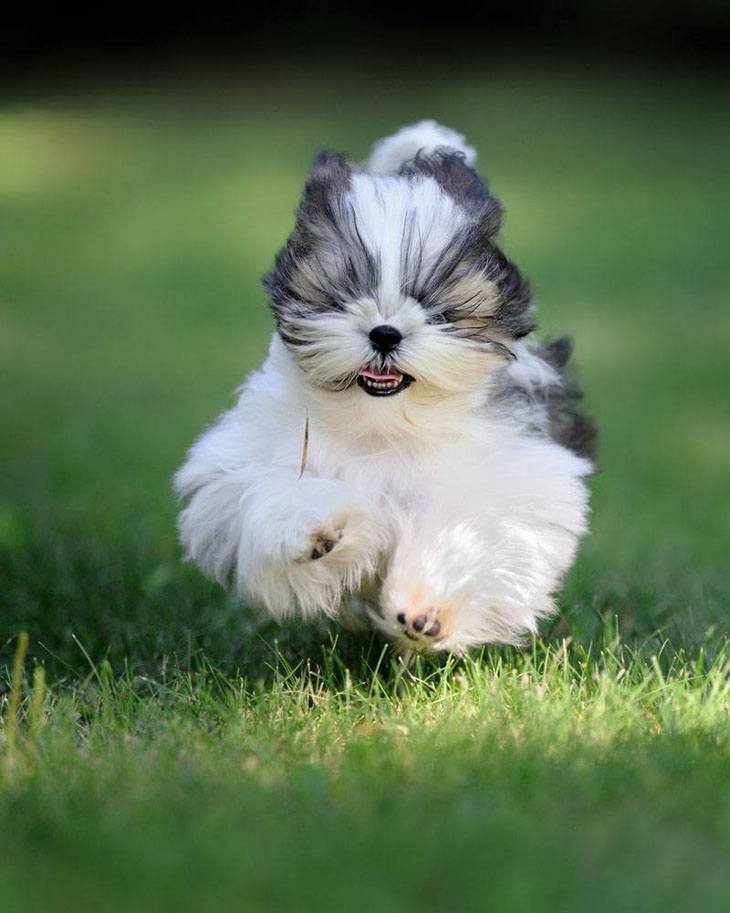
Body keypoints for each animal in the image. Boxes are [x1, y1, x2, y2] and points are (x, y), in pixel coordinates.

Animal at [173, 121, 596, 652]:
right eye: (343, 296)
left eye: (437, 309)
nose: (385, 333)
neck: (384, 424)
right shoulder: (239, 467)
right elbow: (271, 492)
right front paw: (319, 530)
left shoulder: (513, 474)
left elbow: (470, 528)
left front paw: (425, 611)